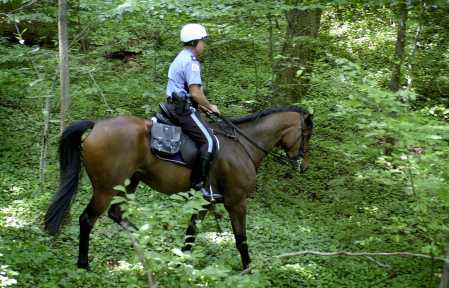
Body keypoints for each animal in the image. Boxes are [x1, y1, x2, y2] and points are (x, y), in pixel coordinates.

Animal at [43, 106, 314, 270]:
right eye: (307, 135)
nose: (303, 166)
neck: (244, 146)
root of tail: (97, 125)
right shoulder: (237, 202)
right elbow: (241, 240)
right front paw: (248, 270)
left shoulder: (203, 202)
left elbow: (190, 236)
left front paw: (180, 264)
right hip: (105, 189)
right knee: (87, 219)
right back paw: (84, 264)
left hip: (129, 182)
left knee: (117, 214)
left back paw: (151, 243)